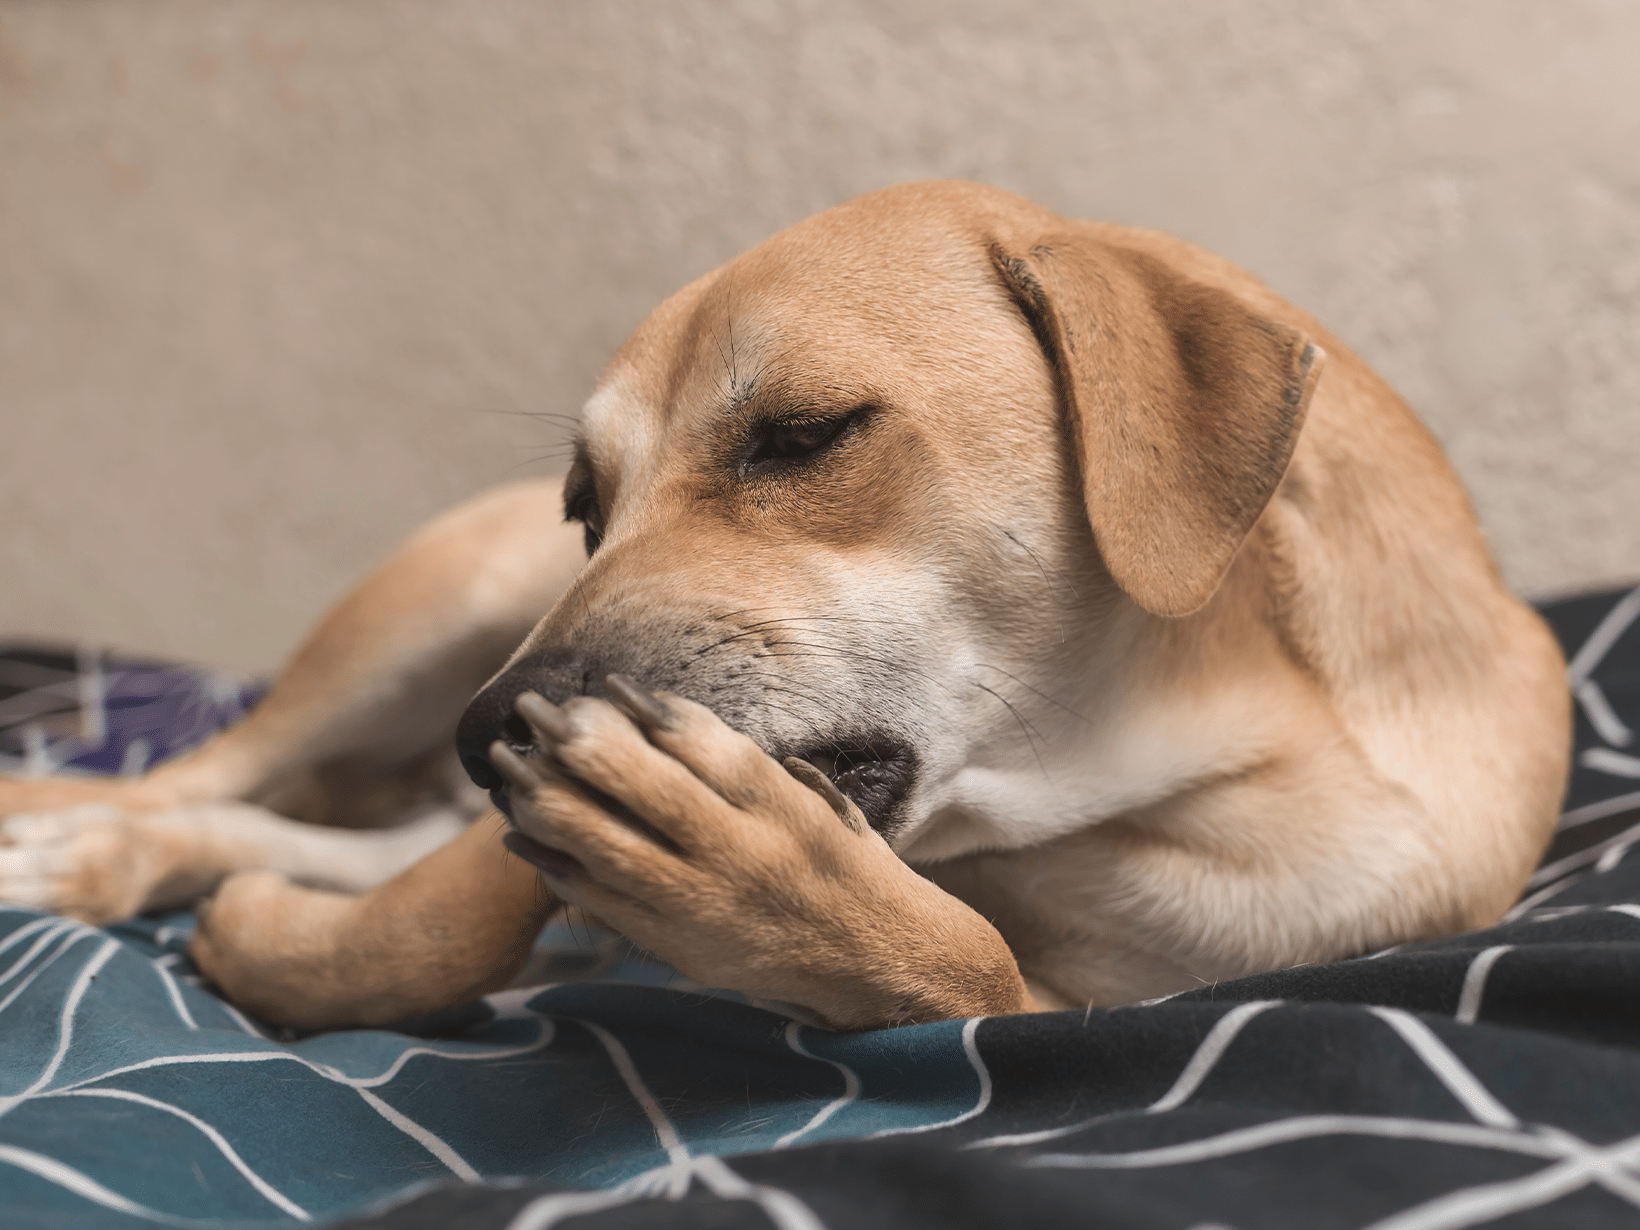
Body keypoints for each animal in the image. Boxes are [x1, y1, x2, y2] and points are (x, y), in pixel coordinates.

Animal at [0, 180, 1567, 1029]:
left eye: (803, 434)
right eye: (587, 504)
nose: (490, 733)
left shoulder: (1094, 1007)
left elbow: (966, 969)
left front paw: (784, 901)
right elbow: (440, 920)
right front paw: (283, 947)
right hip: (427, 611)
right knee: (214, 771)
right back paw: (64, 829)